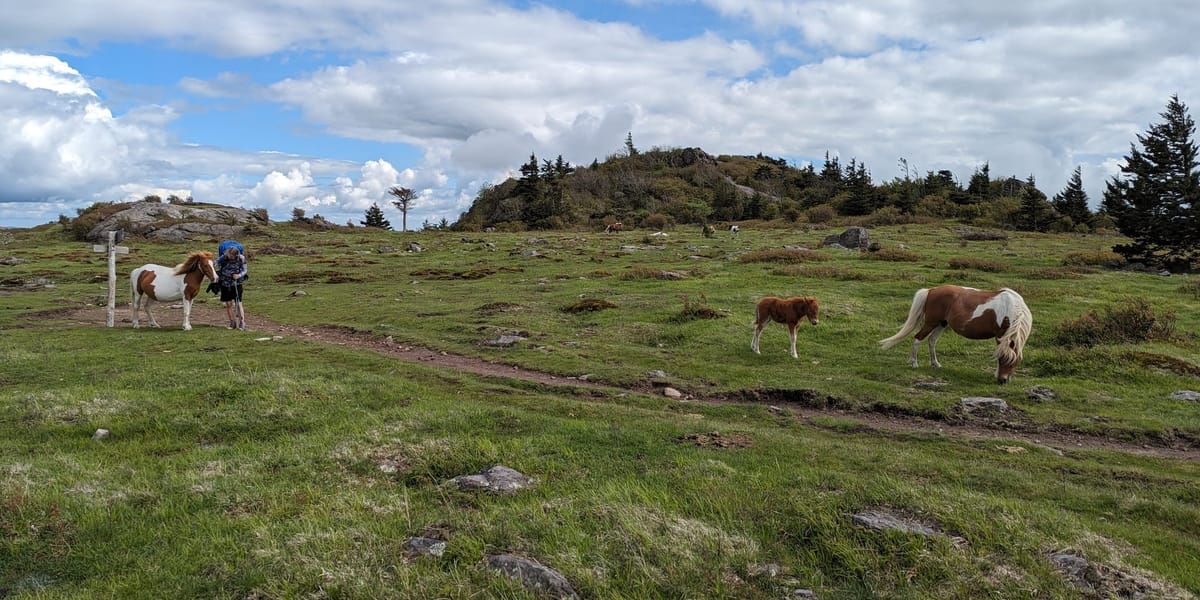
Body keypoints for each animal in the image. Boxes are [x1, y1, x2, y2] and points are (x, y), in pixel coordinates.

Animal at [878, 285, 1036, 384]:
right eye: (1003, 360)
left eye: (1014, 362)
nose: (1002, 381)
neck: (1012, 309)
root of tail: (931, 290)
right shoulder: (1001, 335)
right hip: (931, 323)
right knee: (918, 338)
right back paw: (914, 363)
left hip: (941, 324)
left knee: (931, 341)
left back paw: (935, 363)